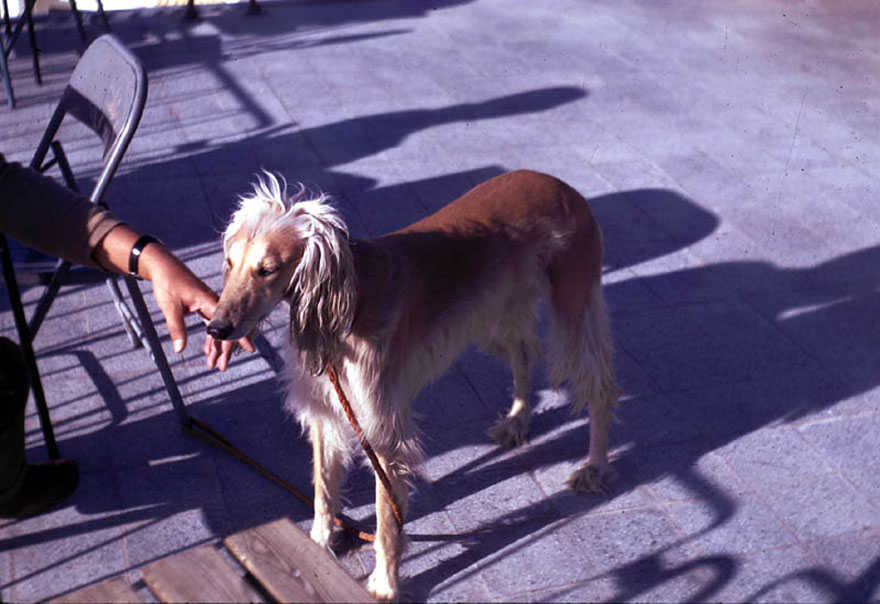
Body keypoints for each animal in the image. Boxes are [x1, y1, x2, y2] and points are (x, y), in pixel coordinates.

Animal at [206, 169, 620, 600]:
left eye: (267, 269)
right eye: (230, 263)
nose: (216, 328)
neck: (349, 303)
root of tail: (557, 184)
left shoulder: (382, 430)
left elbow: (387, 519)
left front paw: (385, 583)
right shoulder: (327, 409)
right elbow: (323, 487)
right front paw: (318, 545)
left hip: (573, 310)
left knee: (600, 387)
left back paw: (595, 466)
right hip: (498, 312)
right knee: (522, 356)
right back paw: (518, 421)